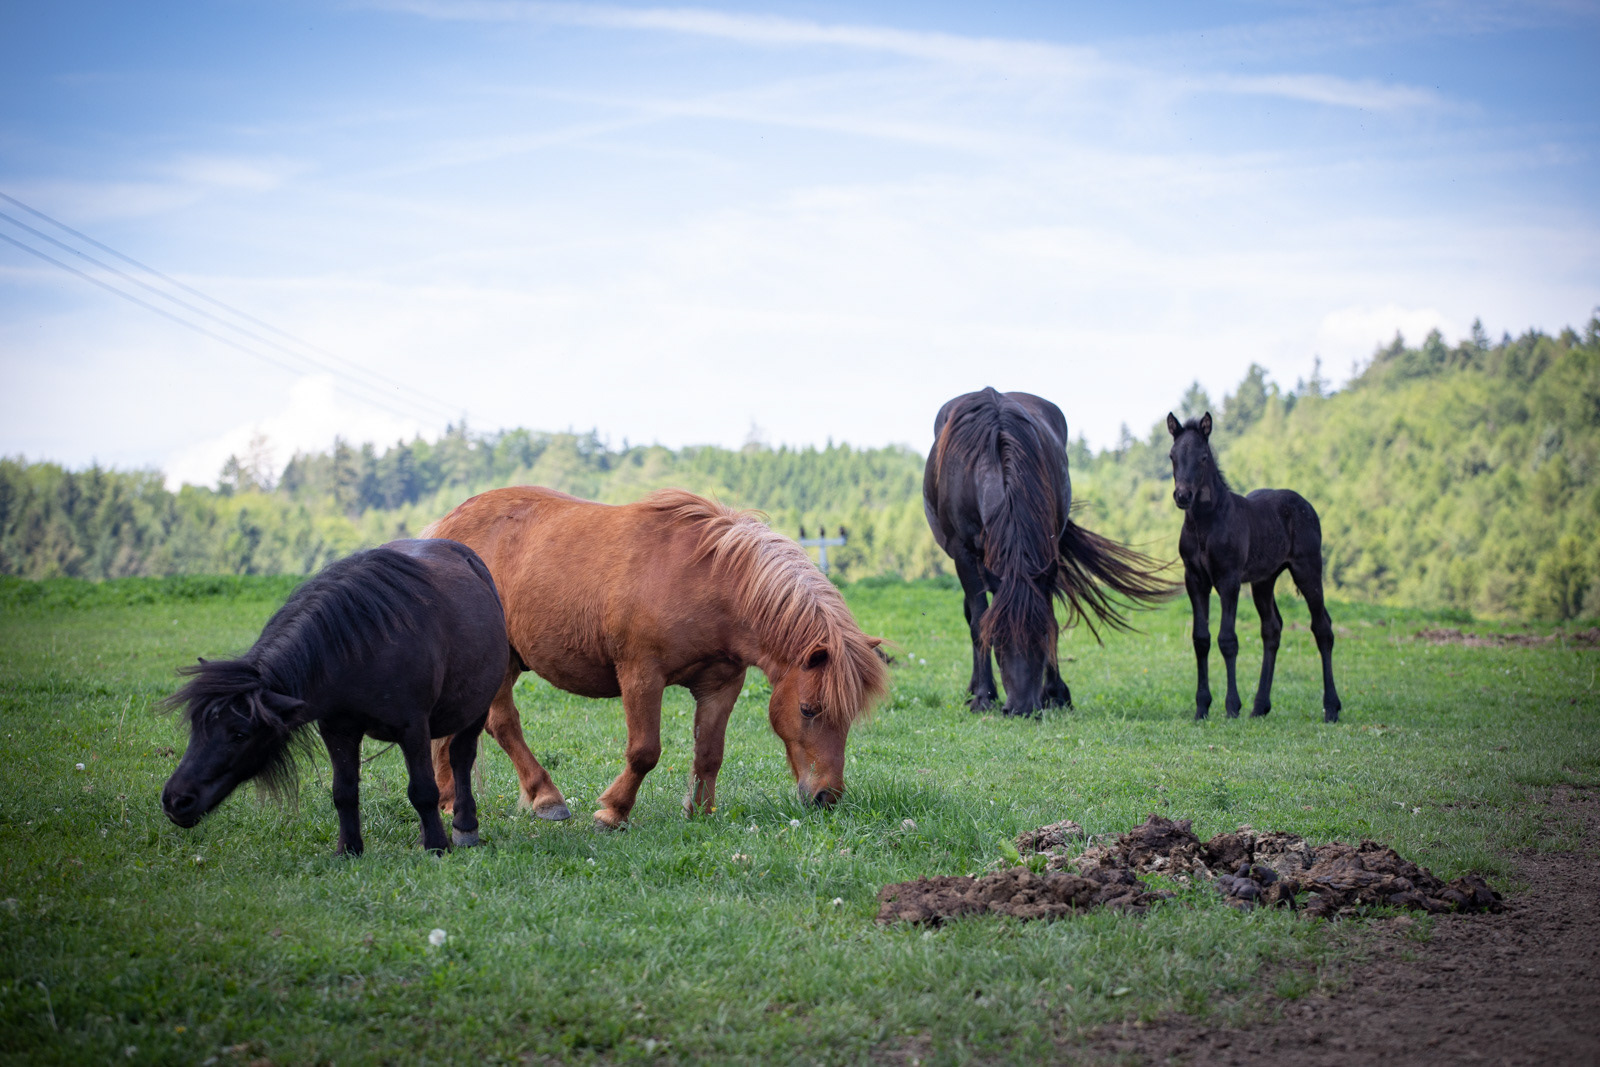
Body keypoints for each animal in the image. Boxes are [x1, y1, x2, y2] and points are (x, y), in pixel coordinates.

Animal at [161, 539, 509, 855]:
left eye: (239, 734)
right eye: (195, 726)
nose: (176, 800)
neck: (360, 649)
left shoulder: (413, 729)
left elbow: (423, 790)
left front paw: (437, 847)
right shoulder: (338, 730)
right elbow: (344, 791)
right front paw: (349, 849)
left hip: (476, 709)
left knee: (461, 757)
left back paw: (465, 827)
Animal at [422, 486, 888, 829]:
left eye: (849, 716)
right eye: (809, 710)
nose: (827, 797)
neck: (710, 581)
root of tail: (444, 528)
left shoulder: (721, 684)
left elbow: (710, 752)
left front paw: (699, 812)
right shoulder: (641, 675)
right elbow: (645, 750)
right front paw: (613, 812)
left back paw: (447, 799)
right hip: (500, 665)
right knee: (503, 724)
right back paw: (545, 798)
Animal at [923, 388, 1177, 718]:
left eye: (1043, 635)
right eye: (998, 636)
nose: (1021, 709)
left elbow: (1051, 613)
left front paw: (1056, 694)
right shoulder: (963, 554)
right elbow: (979, 622)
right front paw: (983, 696)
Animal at [1166, 412, 1342, 722]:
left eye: (1203, 457)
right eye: (1173, 456)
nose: (1183, 496)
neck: (1205, 525)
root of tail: (1306, 504)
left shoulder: (1229, 579)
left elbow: (1227, 639)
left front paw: (1231, 706)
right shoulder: (1195, 580)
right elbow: (1201, 639)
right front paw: (1202, 708)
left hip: (1308, 568)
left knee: (1322, 627)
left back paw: (1331, 708)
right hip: (1264, 580)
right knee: (1272, 629)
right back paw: (1260, 706)